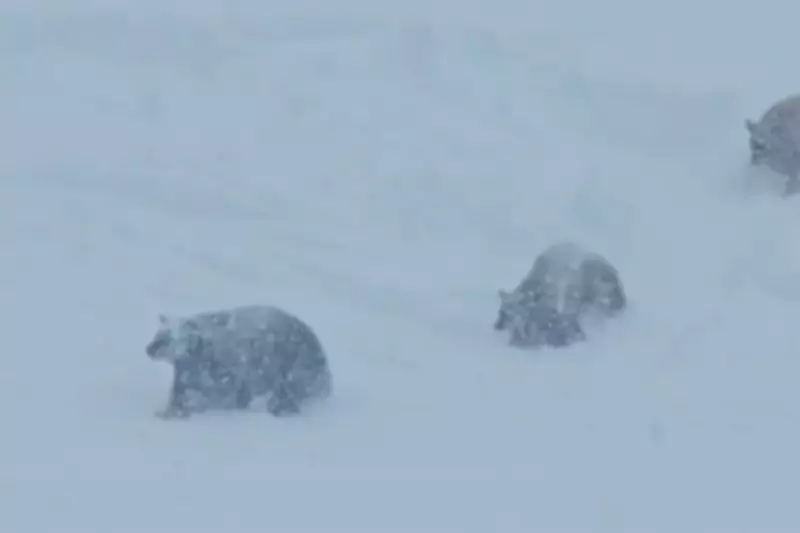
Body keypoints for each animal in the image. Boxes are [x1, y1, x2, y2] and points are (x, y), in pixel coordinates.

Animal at [145, 304, 333, 419]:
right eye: (157, 335)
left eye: (164, 339)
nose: (148, 349)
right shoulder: (187, 371)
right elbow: (180, 393)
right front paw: (168, 412)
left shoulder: (227, 370)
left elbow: (224, 393)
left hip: (296, 367)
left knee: (289, 391)